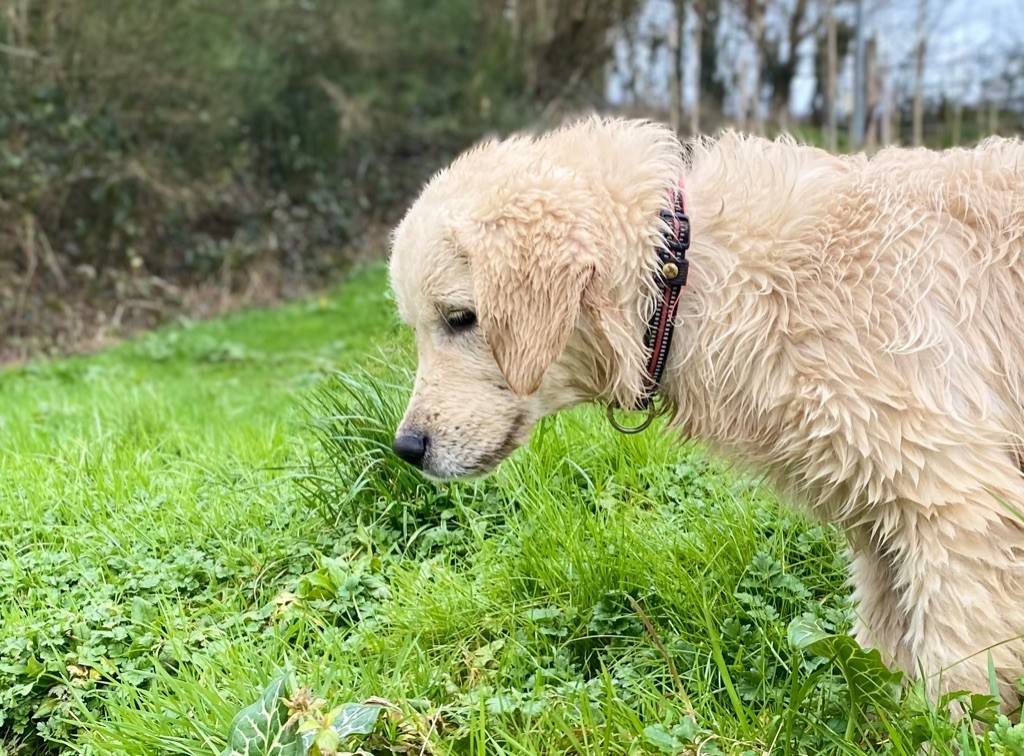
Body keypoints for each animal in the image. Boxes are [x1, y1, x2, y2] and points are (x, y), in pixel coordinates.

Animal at [385, 114, 1024, 704]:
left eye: (461, 318)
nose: (406, 448)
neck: (681, 275)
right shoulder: (879, 524)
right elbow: (885, 648)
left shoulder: (953, 505)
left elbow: (958, 674)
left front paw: (942, 730)